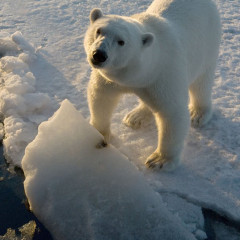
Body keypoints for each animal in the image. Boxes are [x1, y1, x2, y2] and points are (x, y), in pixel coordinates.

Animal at [84, 0, 221, 170]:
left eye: (121, 41)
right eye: (98, 30)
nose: (99, 54)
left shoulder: (164, 75)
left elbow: (172, 113)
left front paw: (159, 160)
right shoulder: (110, 79)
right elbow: (101, 97)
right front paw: (98, 133)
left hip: (208, 42)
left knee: (201, 82)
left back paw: (198, 113)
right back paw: (136, 116)